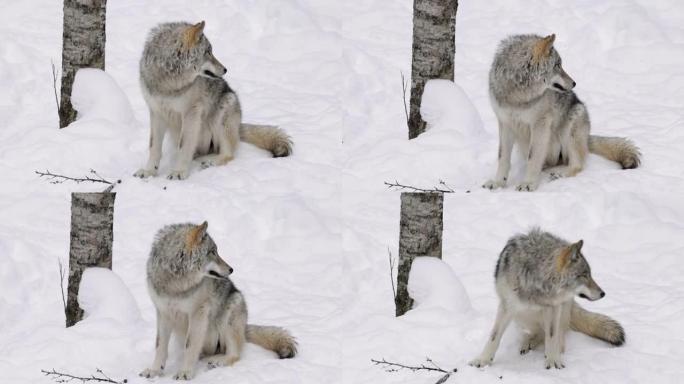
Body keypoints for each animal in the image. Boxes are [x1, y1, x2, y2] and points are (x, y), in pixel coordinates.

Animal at [135, 21, 292, 181]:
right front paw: (149, 172)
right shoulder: (156, 112)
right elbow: (154, 147)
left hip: (223, 111)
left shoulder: (191, 113)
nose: (225, 69)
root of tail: (239, 125)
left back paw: (209, 162)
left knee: (228, 154)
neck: (168, 83)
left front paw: (178, 172)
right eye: (208, 52)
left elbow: (184, 146)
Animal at [139, 220, 296, 380]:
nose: (231, 269)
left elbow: (190, 346)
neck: (175, 284)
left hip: (229, 314)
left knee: (234, 354)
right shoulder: (163, 313)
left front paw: (185, 372)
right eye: (212, 252)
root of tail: (245, 327)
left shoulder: (198, 313)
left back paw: (216, 361)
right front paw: (155, 371)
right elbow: (160, 346)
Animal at [470, 228, 624, 368]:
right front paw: (483, 360)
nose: (603, 293)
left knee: (558, 335)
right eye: (584, 275)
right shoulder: (507, 306)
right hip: (521, 315)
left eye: (590, 274)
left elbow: (551, 336)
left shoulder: (553, 308)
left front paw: (553, 360)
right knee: (538, 331)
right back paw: (528, 342)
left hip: (561, 309)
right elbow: (494, 337)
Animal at [484, 33, 640, 191]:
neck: (517, 96)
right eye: (557, 65)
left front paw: (528, 183)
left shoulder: (540, 125)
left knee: (577, 165)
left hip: (570, 126)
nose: (574, 83)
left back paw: (558, 174)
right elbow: (503, 158)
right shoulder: (505, 123)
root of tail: (587, 137)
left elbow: (533, 158)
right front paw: (498, 183)